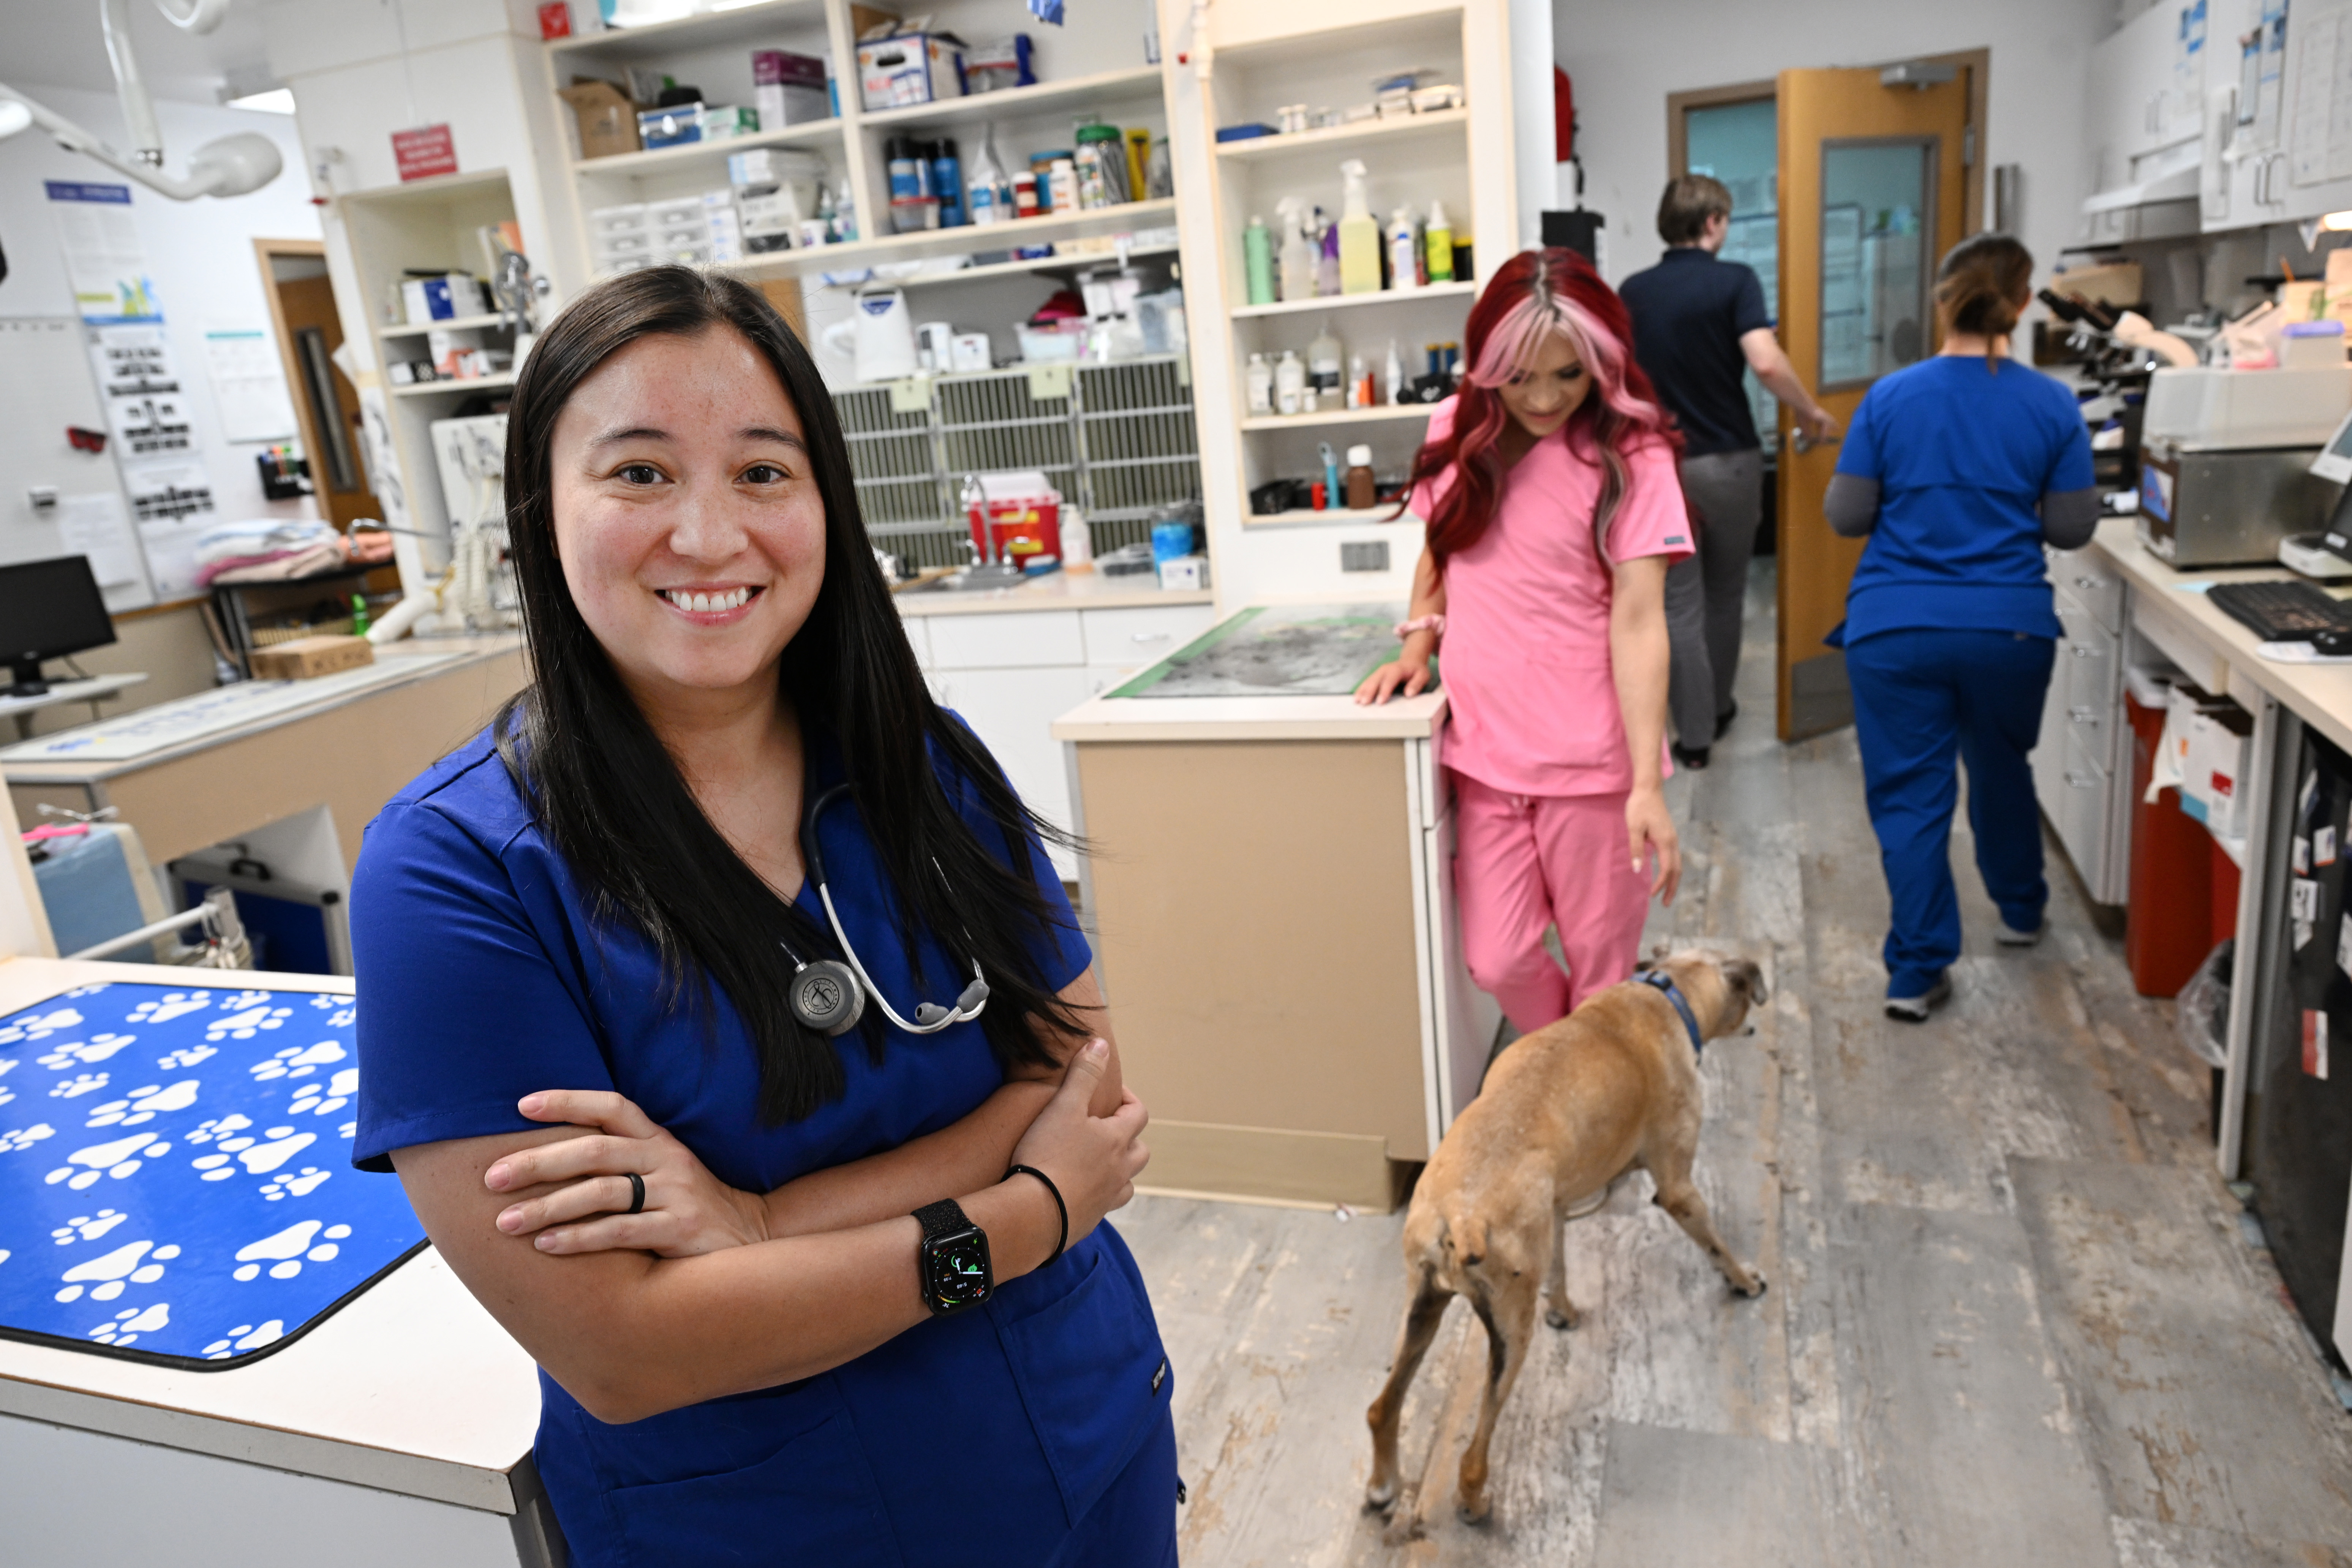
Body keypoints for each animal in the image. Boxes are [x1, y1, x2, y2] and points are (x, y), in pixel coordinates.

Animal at [1364, 950, 1769, 1523]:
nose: (1757, 1022)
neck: (1666, 993)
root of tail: (1461, 1215)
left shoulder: (1553, 1211)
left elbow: (1557, 1267)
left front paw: (1563, 1308)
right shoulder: (1679, 1190)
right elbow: (1716, 1243)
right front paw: (1745, 1280)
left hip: (1419, 1313)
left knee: (1383, 1408)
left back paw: (1384, 1486)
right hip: (1510, 1337)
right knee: (1473, 1453)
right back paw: (1475, 1503)